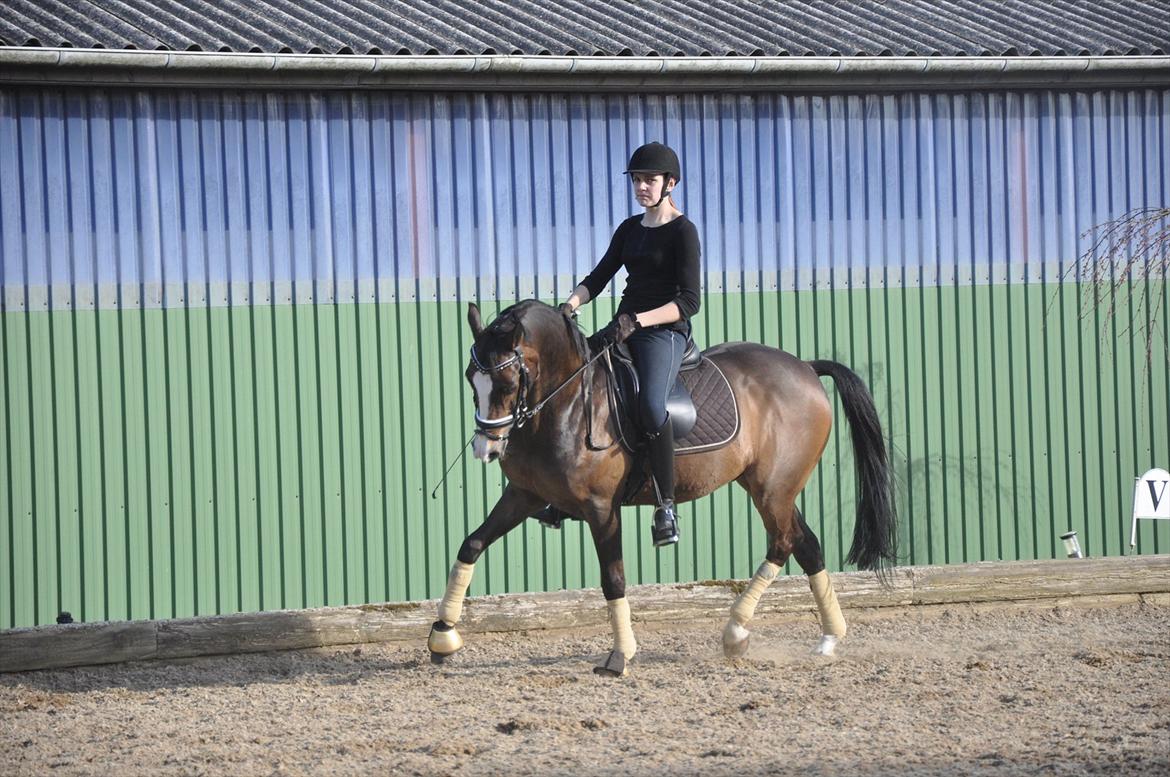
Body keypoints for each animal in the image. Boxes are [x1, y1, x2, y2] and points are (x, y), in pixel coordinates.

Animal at [430, 297, 893, 674]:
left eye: (508, 383)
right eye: (471, 379)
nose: (485, 449)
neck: (565, 403)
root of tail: (805, 368)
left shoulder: (601, 509)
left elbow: (613, 579)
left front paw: (620, 655)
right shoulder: (525, 495)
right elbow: (471, 545)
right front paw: (442, 635)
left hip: (772, 489)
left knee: (782, 542)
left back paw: (735, 631)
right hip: (772, 487)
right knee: (806, 543)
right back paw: (828, 638)